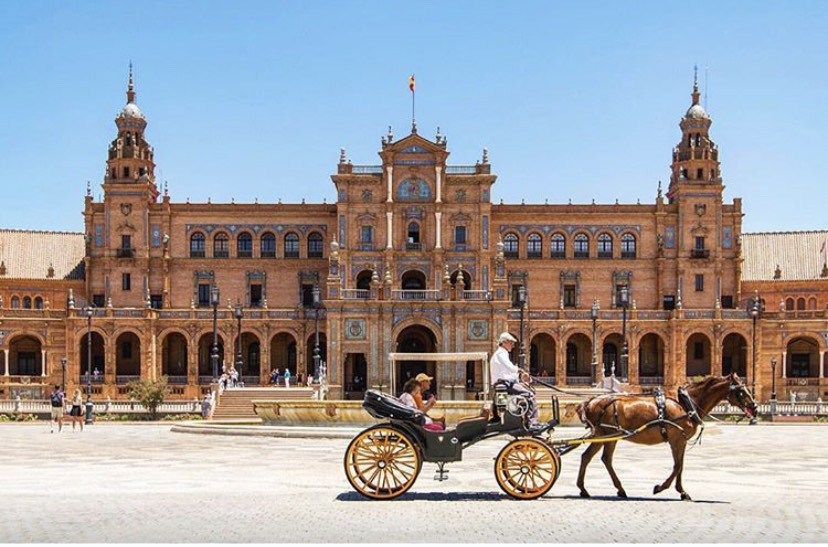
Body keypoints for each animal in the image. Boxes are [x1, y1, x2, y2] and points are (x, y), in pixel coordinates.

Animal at [576, 372, 756, 500]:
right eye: (741, 390)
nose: (754, 406)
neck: (685, 403)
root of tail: (590, 401)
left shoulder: (682, 440)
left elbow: (681, 466)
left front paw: (682, 492)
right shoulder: (676, 440)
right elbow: (677, 466)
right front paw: (660, 488)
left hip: (604, 436)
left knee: (590, 457)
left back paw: (588, 489)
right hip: (607, 435)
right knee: (601, 458)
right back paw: (612, 488)